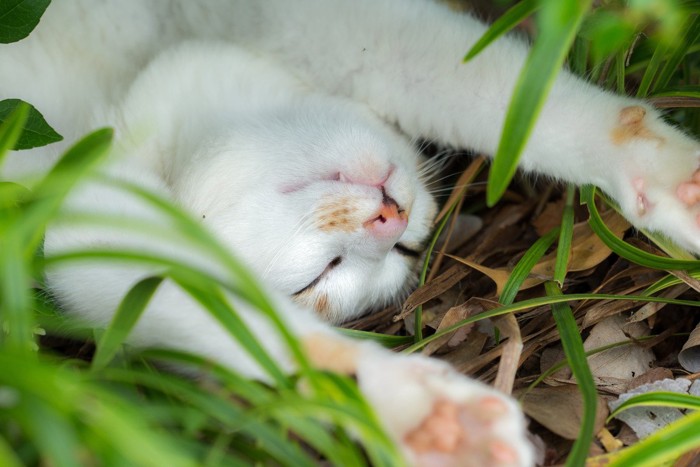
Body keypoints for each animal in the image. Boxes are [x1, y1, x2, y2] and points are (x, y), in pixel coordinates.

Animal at [1, 0, 700, 467]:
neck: (111, 90)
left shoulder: (285, 19)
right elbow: (171, 291)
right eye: (322, 275)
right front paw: (401, 405)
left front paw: (666, 174)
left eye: (410, 247)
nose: (391, 220)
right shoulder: (76, 206)